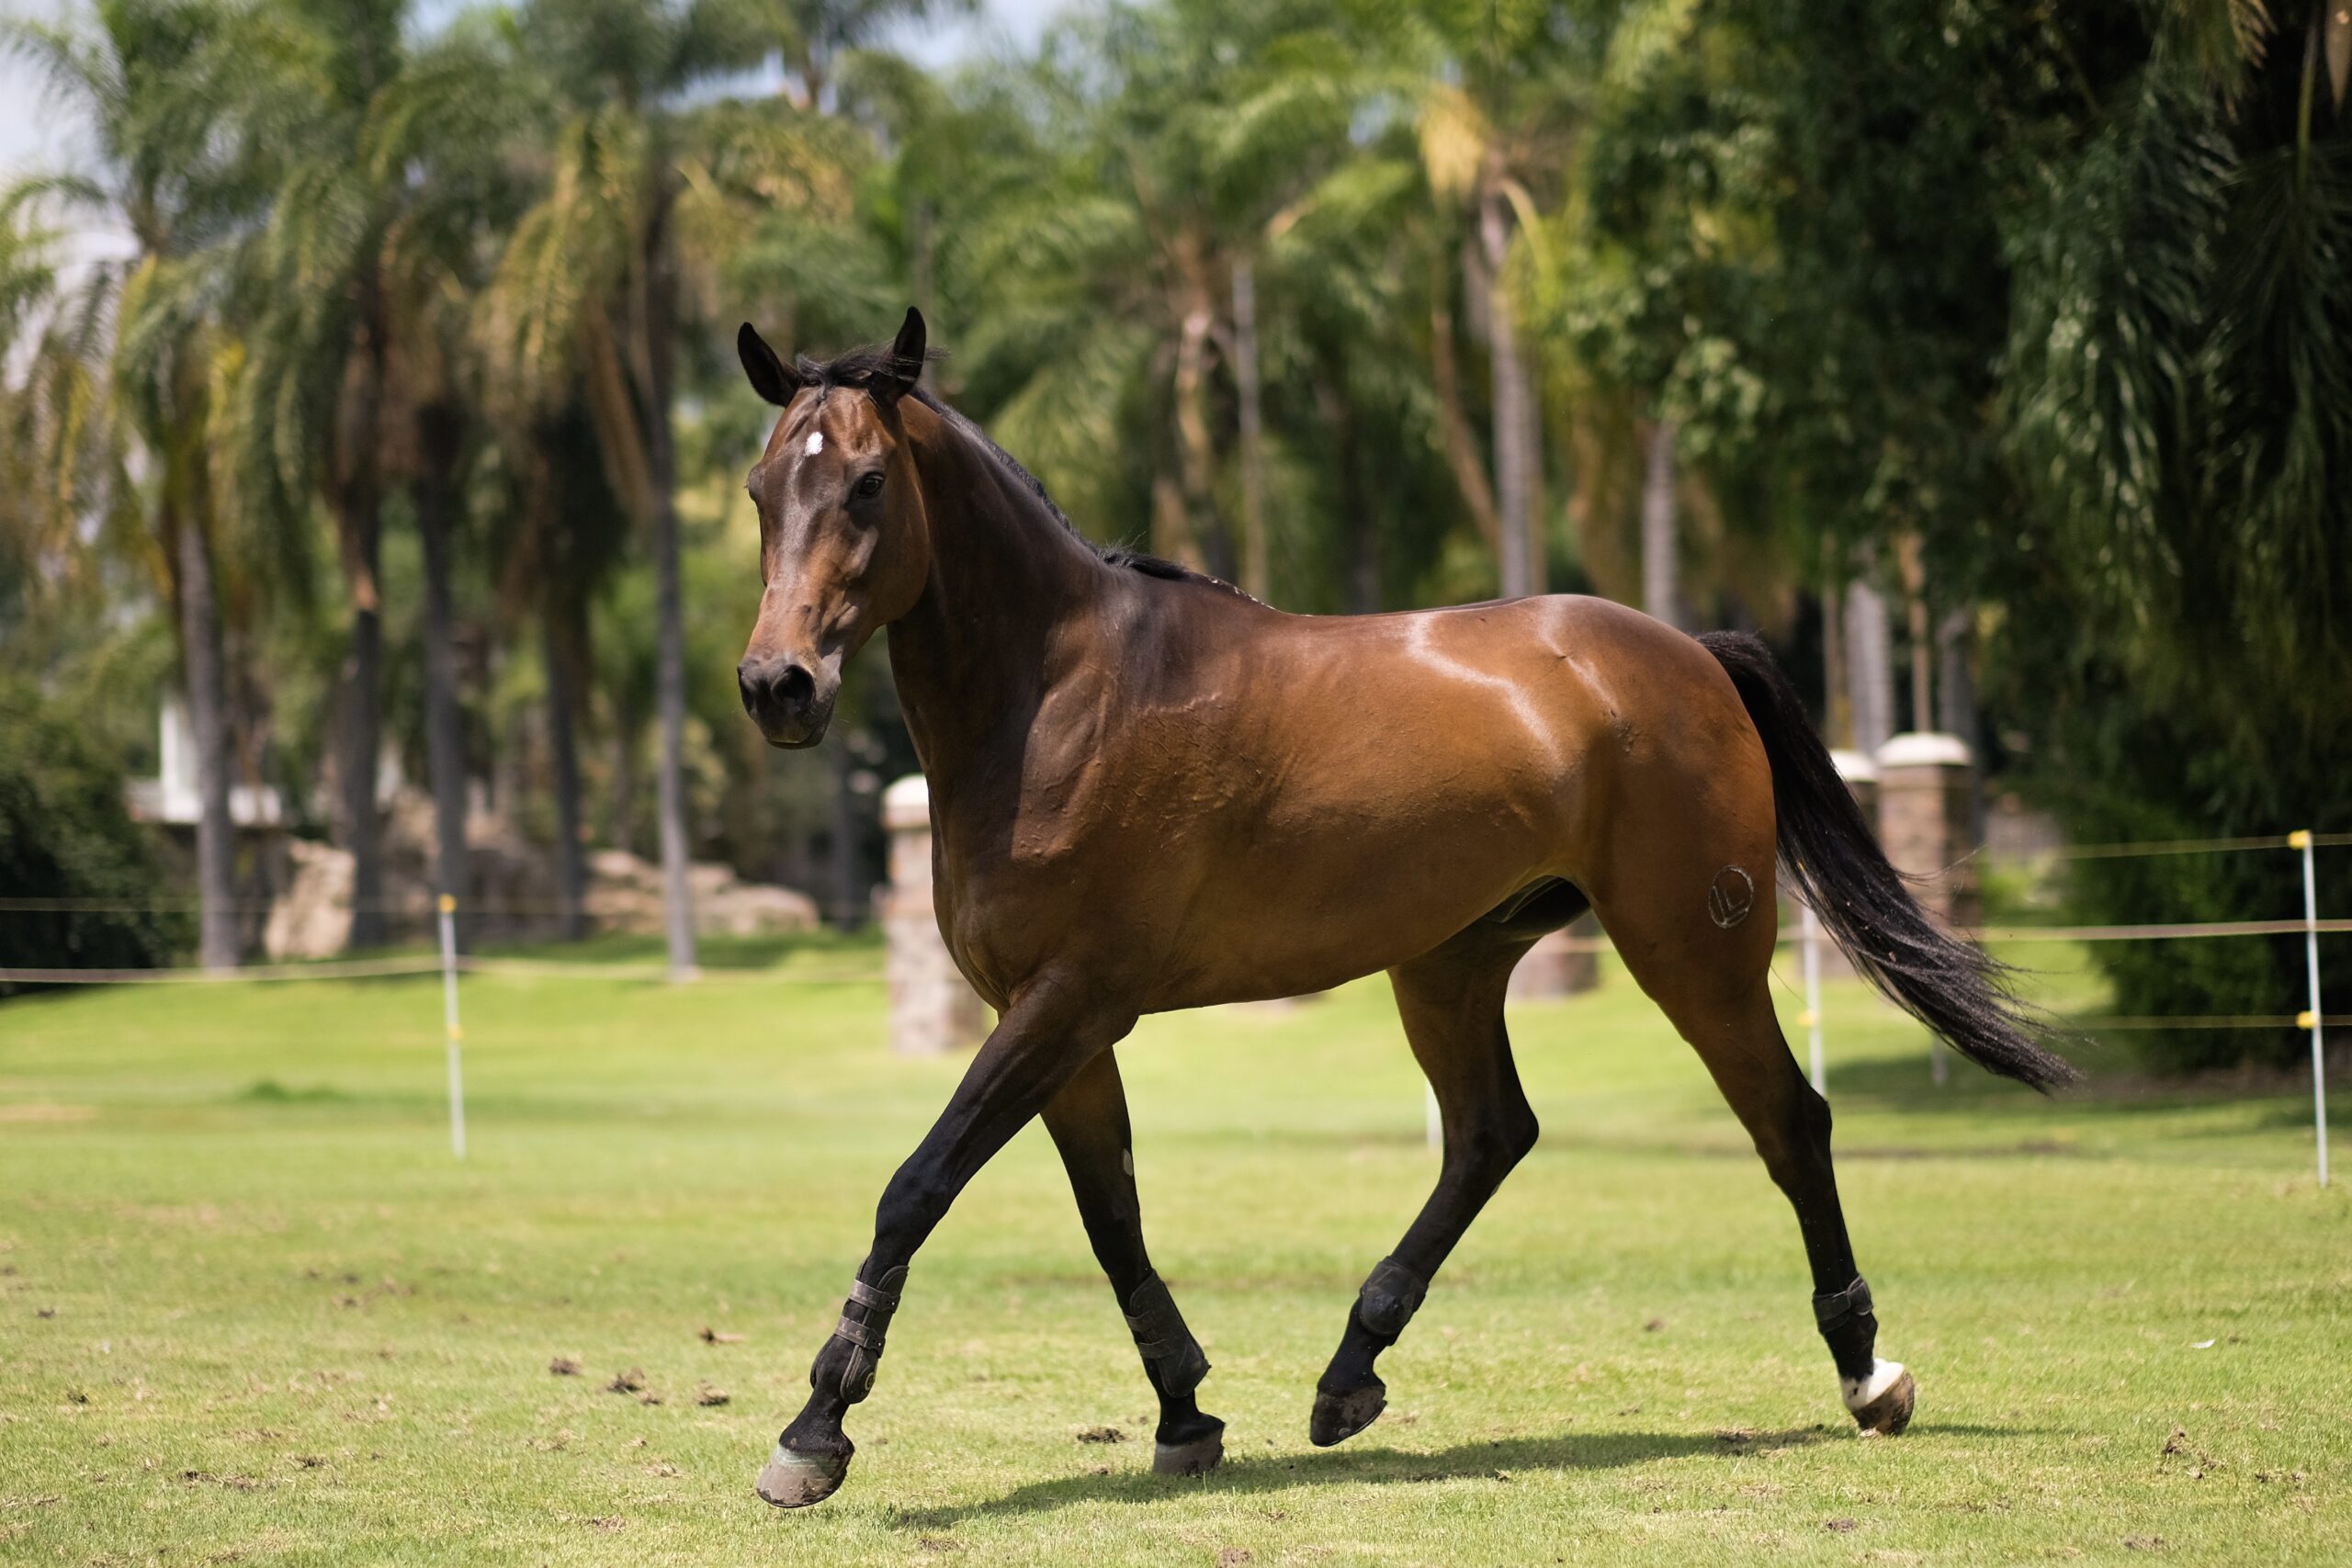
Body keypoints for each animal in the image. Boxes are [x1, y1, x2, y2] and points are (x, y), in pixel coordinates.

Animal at [733, 310, 2079, 1504]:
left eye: (865, 484)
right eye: (759, 489)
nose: (774, 685)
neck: (1062, 694)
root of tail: (1692, 653)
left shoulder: (1066, 1003)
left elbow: (917, 1185)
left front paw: (813, 1432)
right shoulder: (1057, 1020)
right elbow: (1111, 1216)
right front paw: (1186, 1413)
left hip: (1691, 952)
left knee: (1788, 1121)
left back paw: (1867, 1373)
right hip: (1450, 962)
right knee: (1490, 1133)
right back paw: (1348, 1372)